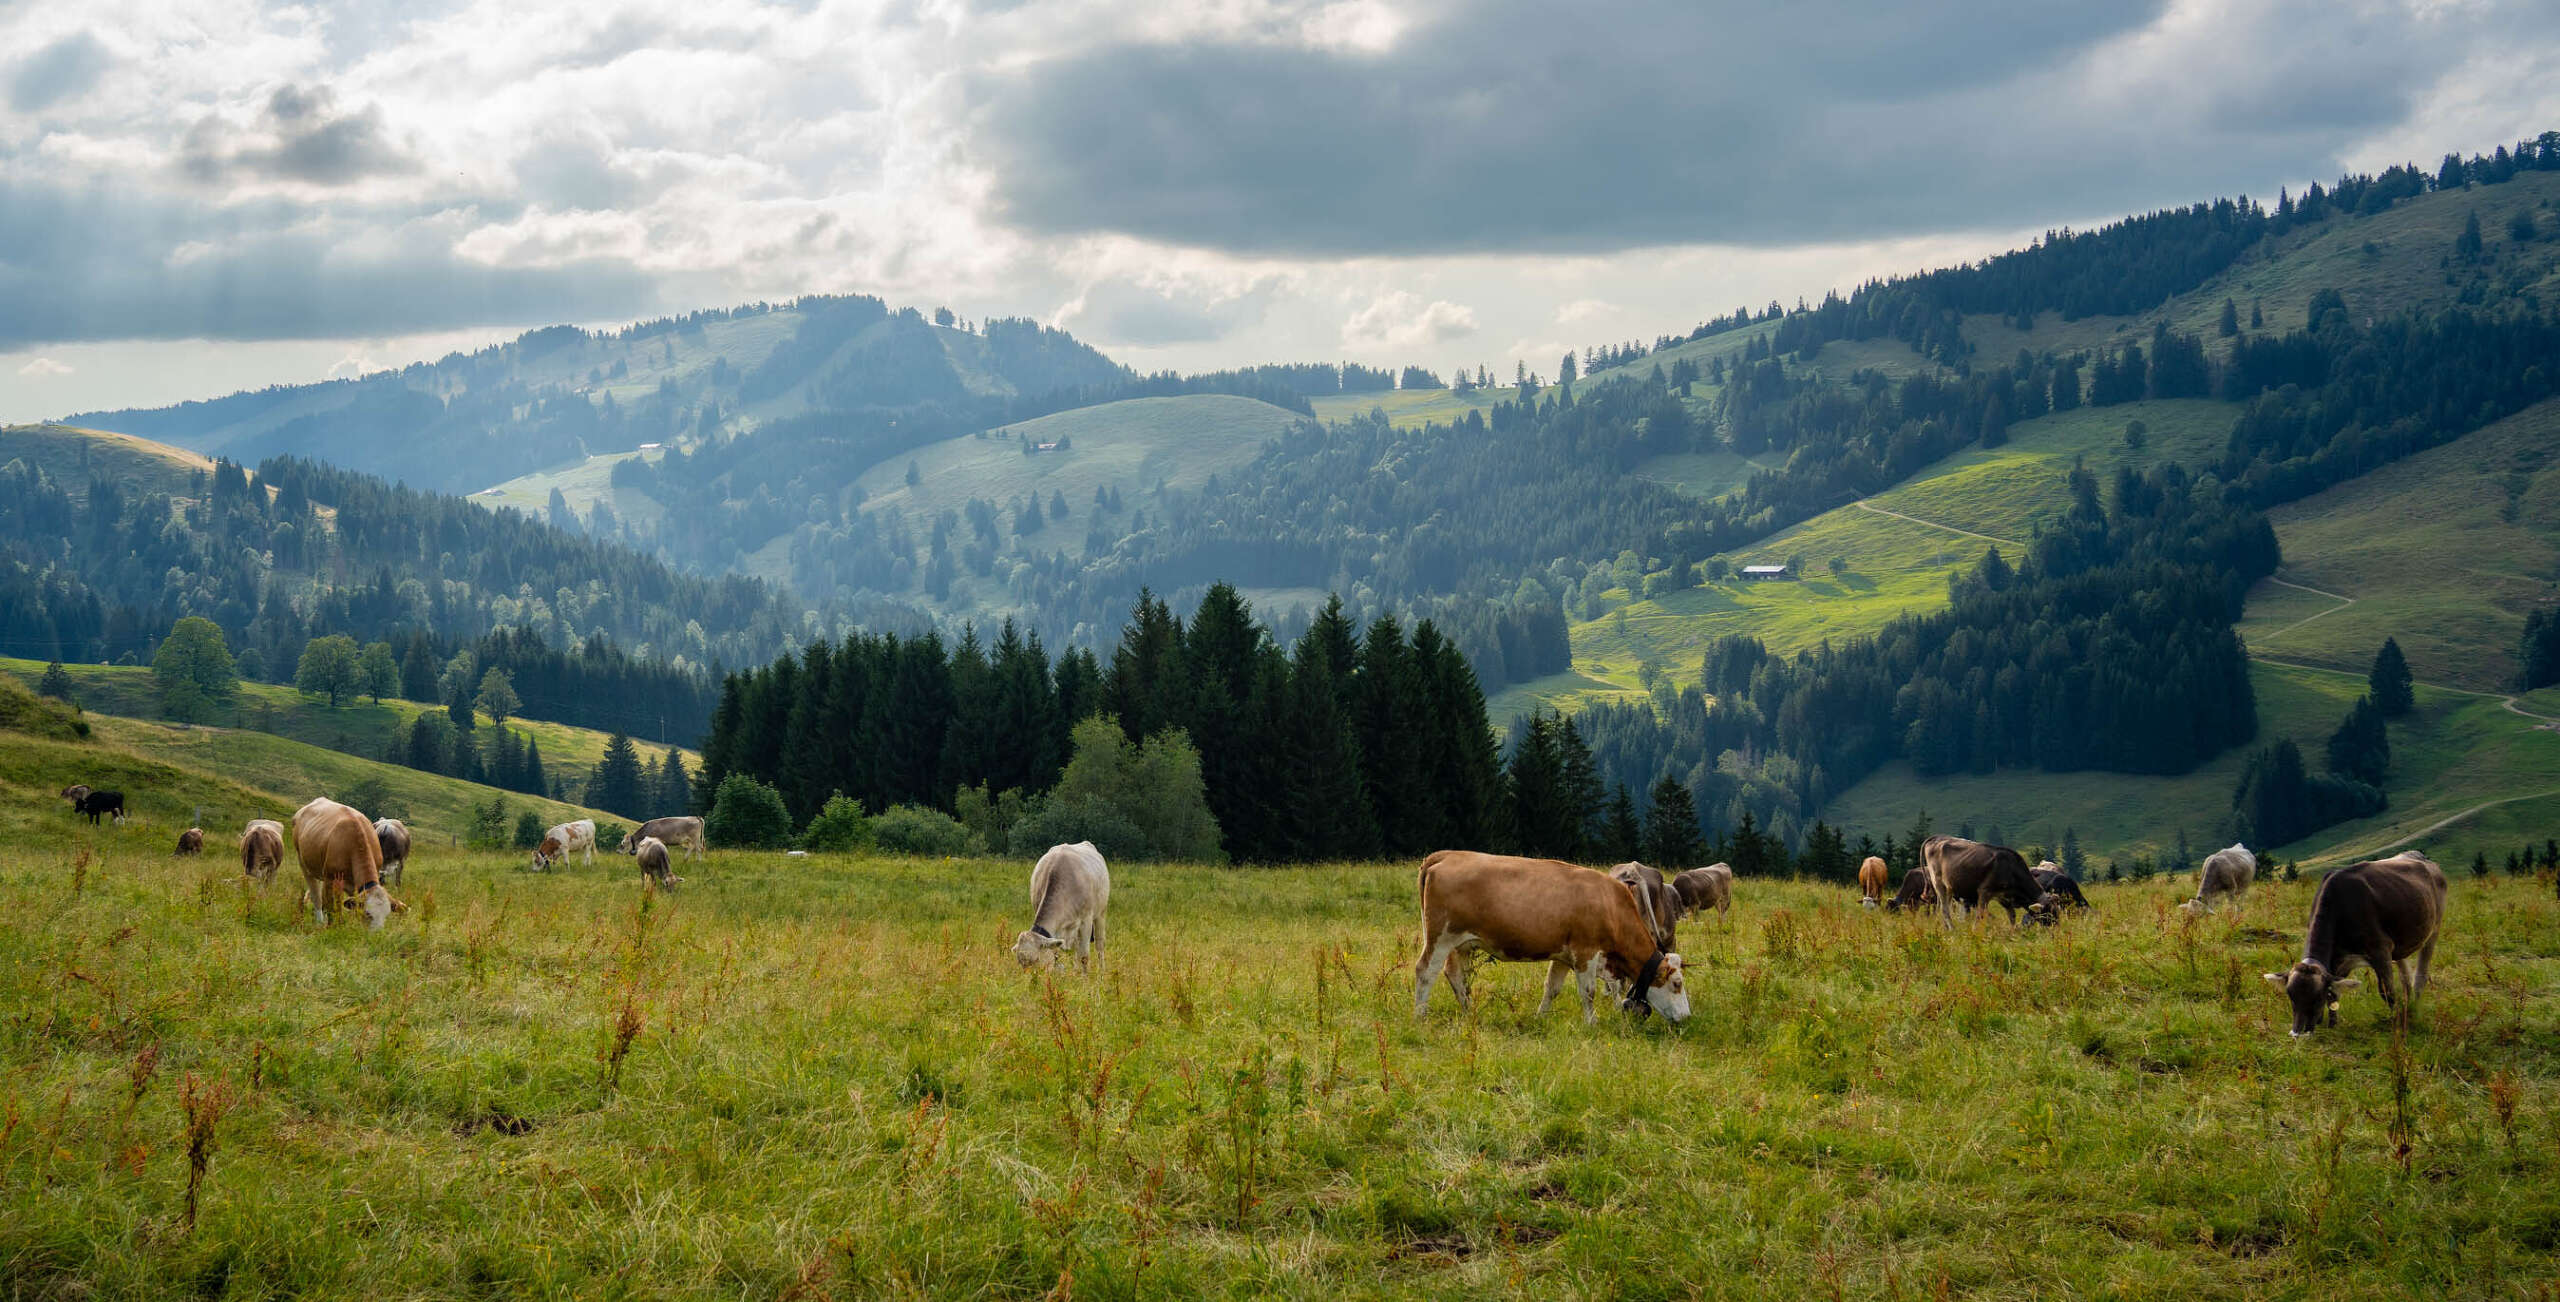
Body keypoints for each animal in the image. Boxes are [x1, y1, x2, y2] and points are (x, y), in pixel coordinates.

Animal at [293, 792, 401, 925]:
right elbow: (333, 908)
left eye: (386, 915)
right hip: (304, 864)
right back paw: (319, 921)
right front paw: (334, 926)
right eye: (368, 914)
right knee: (316, 896)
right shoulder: (331, 879)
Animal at [1008, 839, 1111, 972]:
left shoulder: (1086, 921)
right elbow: (1056, 954)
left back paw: (1102, 972)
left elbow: (1084, 956)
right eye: (1020, 963)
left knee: (1099, 945)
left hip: (1101, 913)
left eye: (1036, 959)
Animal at [1413, 854, 1689, 1023]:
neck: (1610, 904)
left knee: (1456, 975)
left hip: (1462, 944)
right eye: (1677, 984)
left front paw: (1540, 1017)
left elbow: (1552, 988)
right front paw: (1592, 1022)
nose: (1687, 1017)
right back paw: (1420, 1016)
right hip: (1440, 937)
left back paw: (1469, 1011)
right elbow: (1588, 991)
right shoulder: (1585, 952)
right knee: (1425, 971)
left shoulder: (1563, 956)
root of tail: (1447, 855)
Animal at [1925, 833, 2058, 925]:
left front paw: (2013, 934)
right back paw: (1952, 929)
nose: (2056, 927)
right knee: (1945, 910)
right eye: (2050, 912)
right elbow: (1980, 916)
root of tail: (1937, 838)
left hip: (1950, 889)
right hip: (1939, 884)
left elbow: (2012, 916)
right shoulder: (1984, 891)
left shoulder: (2003, 896)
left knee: (1944, 909)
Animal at [2273, 854, 2447, 1033]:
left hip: (2434, 929)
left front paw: (2398, 1024)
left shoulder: (2380, 950)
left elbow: (2386, 991)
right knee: (2405, 975)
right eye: (2290, 995)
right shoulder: (2337, 960)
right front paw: (2332, 1024)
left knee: (2421, 974)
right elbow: (2334, 993)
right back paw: (2409, 1005)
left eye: (2317, 997)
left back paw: (2415, 1008)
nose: (2297, 1031)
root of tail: (2421, 857)